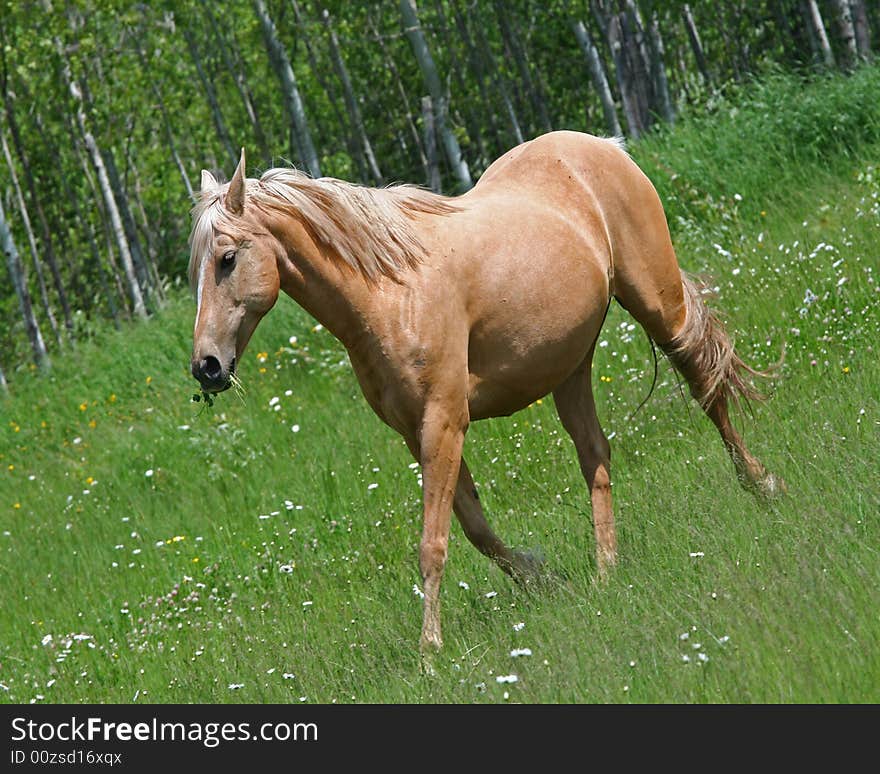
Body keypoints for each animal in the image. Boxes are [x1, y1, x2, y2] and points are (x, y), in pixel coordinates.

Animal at [187, 132, 784, 656]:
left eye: (227, 258)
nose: (206, 367)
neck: (390, 292)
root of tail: (603, 147)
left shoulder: (444, 420)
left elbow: (432, 543)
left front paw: (429, 652)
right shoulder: (416, 434)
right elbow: (474, 527)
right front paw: (542, 579)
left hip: (658, 306)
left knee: (707, 387)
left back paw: (762, 487)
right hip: (571, 366)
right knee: (596, 455)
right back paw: (605, 572)